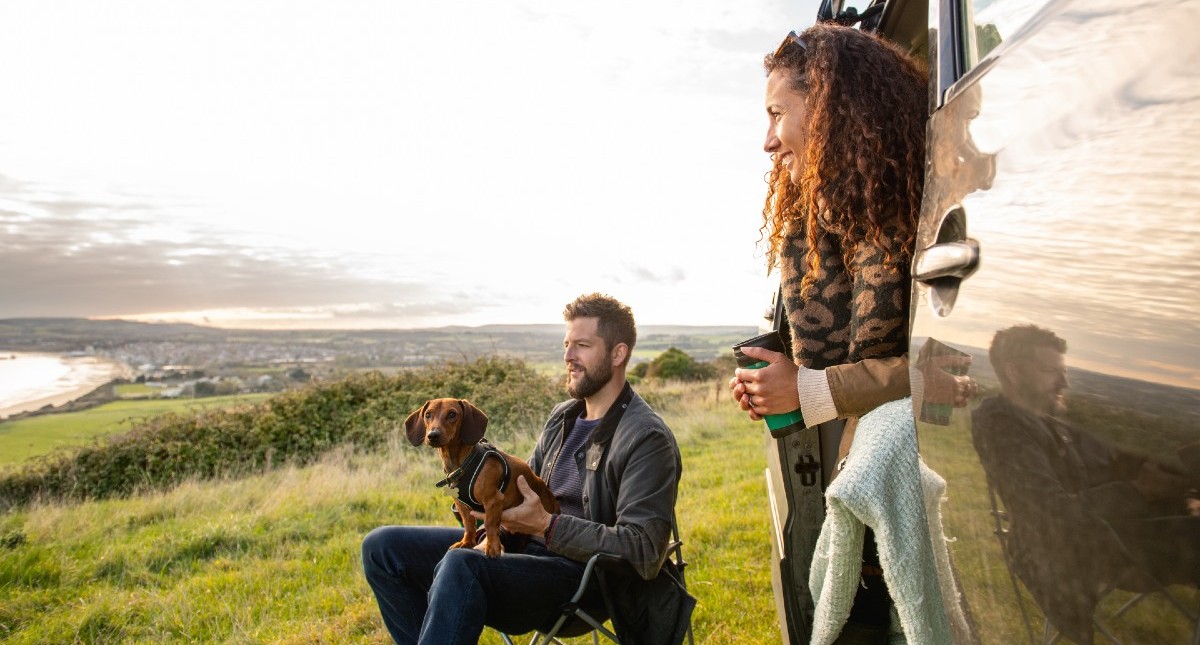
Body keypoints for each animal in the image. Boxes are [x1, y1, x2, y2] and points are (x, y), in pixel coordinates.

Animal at [405, 393, 559, 553]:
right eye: (428, 415)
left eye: (452, 414)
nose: (432, 435)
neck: (462, 465)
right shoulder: (461, 505)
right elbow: (468, 525)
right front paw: (466, 542)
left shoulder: (493, 500)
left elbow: (490, 525)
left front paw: (492, 546)